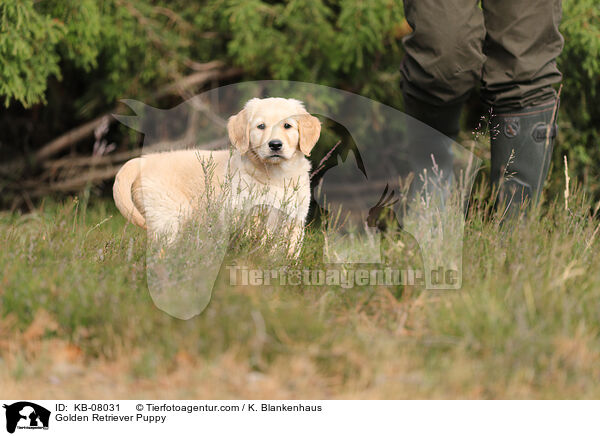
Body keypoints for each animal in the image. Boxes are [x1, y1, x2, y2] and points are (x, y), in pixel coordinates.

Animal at [110, 95, 322, 252]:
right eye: (261, 126)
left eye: (288, 126)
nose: (275, 145)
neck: (276, 175)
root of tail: (144, 160)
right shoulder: (244, 215)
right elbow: (256, 245)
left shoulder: (294, 221)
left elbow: (288, 253)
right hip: (168, 217)